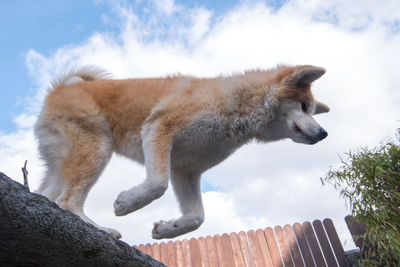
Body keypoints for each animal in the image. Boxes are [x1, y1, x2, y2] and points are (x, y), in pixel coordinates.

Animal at [35, 65, 328, 241]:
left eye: (314, 110)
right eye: (304, 106)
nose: (324, 133)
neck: (234, 106)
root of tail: (64, 87)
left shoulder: (185, 169)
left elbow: (197, 217)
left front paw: (167, 229)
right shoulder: (158, 127)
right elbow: (157, 184)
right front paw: (128, 202)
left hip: (64, 162)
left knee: (50, 197)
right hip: (98, 147)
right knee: (68, 202)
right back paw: (100, 229)